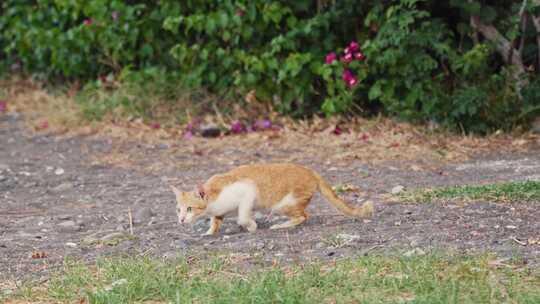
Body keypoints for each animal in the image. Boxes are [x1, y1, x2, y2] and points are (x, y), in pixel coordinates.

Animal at [171, 164, 374, 235]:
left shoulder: (248, 190)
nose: (180, 219)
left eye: (189, 208)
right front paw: (210, 232)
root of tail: (310, 171)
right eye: (178, 209)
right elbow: (216, 221)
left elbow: (243, 216)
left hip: (283, 204)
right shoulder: (219, 211)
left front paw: (251, 226)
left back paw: (280, 225)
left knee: (303, 216)